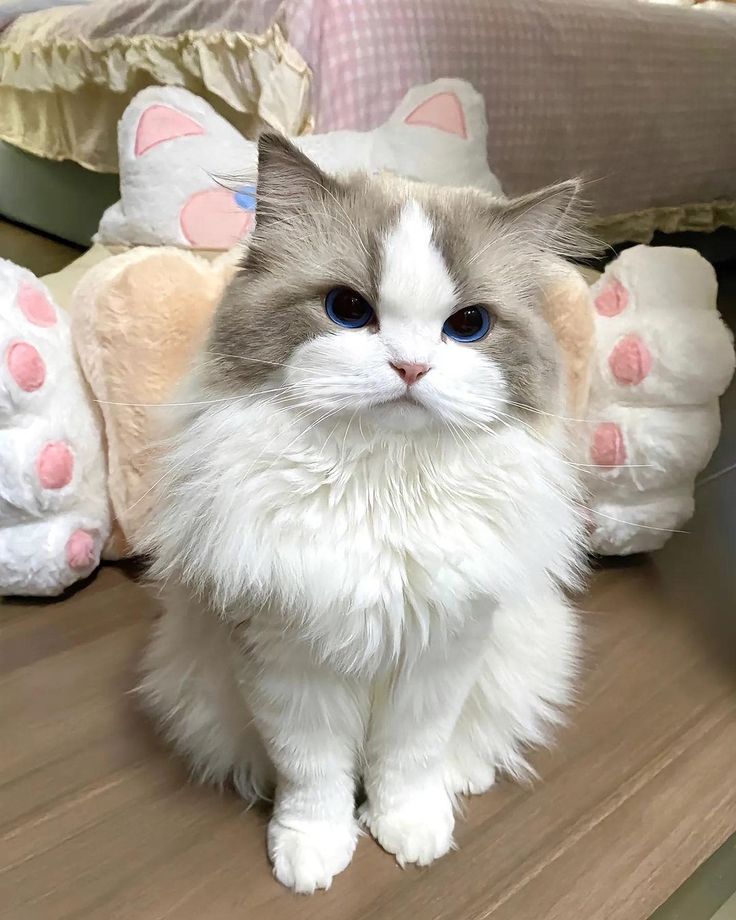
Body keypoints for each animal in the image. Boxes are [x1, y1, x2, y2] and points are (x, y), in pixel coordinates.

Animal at [137, 135, 588, 892]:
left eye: (469, 326)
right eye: (348, 309)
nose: (410, 368)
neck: (382, 483)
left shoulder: (442, 652)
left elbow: (406, 761)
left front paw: (410, 830)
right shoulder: (287, 658)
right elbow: (312, 774)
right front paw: (313, 852)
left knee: (473, 741)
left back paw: (460, 780)